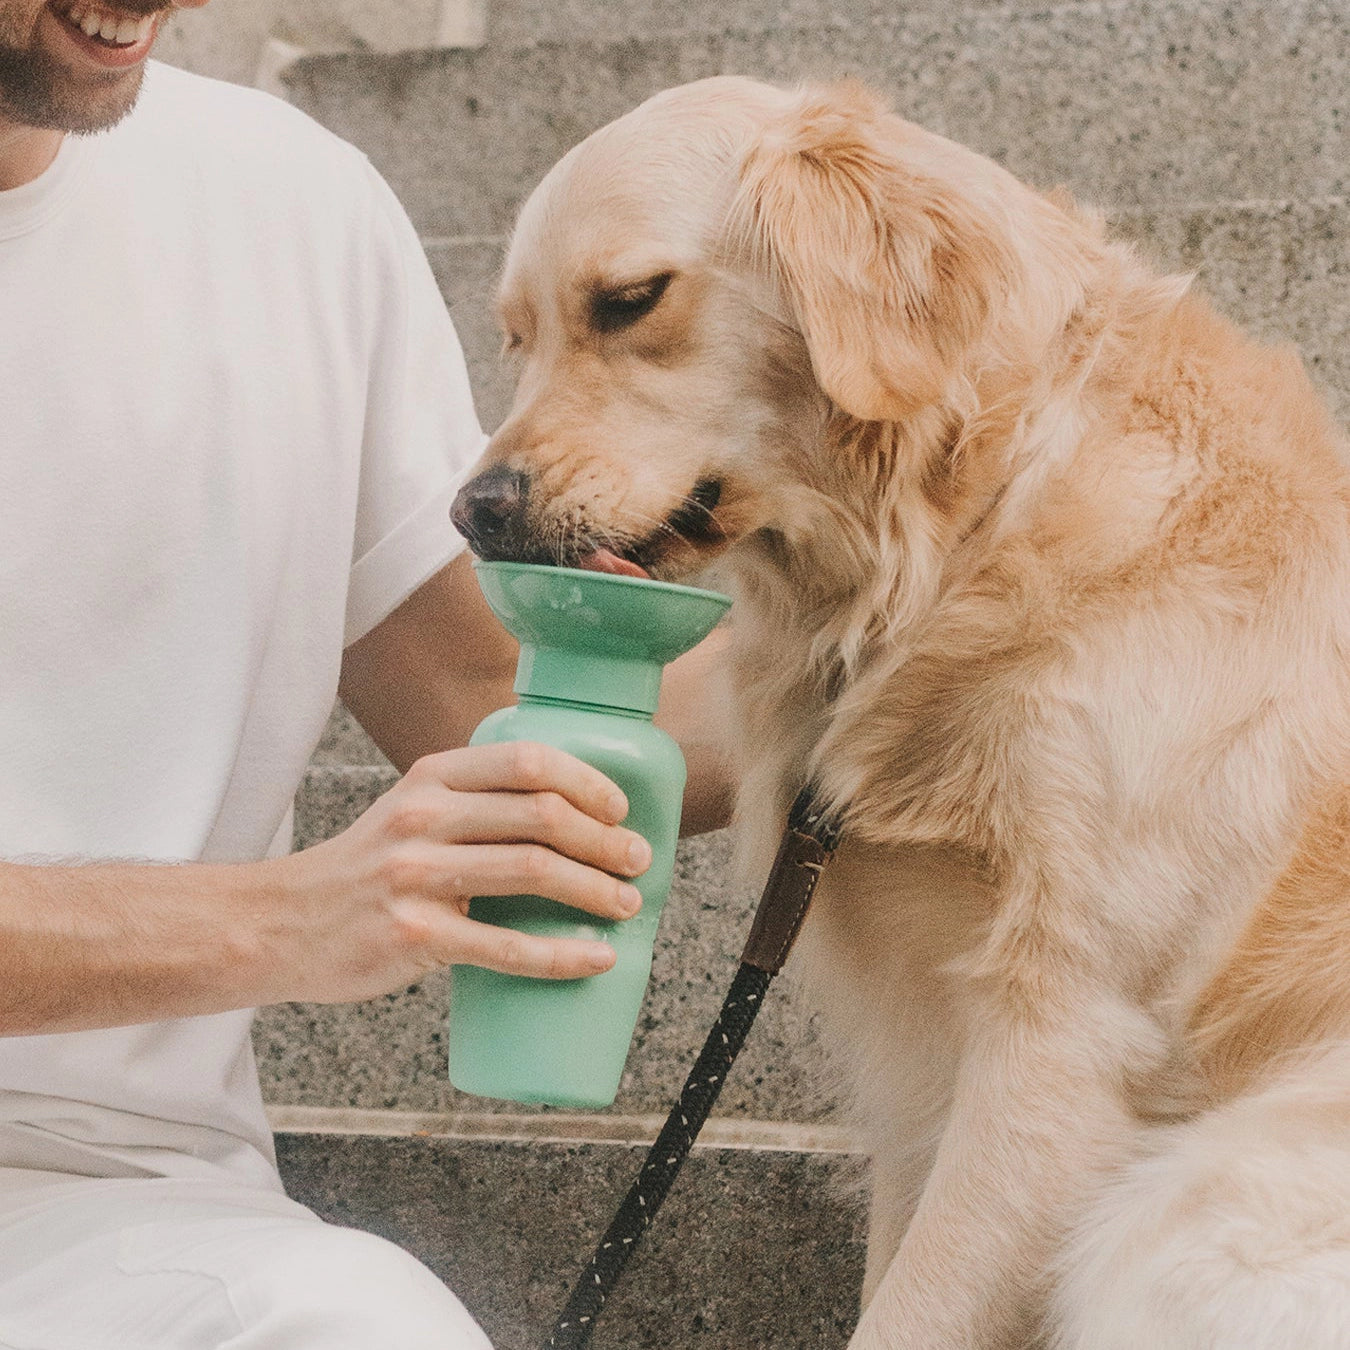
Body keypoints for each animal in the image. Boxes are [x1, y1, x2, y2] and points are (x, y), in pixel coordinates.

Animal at [448, 76, 1350, 1350]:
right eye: (515, 337)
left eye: (628, 302)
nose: (474, 509)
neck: (962, 542)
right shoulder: (927, 1043)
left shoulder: (1066, 1033)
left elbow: (919, 1310)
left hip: (1195, 1206)